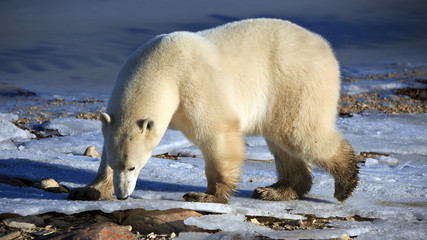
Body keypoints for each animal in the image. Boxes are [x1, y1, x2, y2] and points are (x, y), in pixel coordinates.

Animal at [68, 17, 360, 203]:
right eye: (118, 165)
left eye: (132, 167)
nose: (123, 195)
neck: (160, 65)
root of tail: (324, 45)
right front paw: (88, 190)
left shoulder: (193, 83)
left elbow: (217, 133)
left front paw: (207, 195)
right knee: (281, 140)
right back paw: (275, 190)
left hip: (295, 81)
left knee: (300, 133)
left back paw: (345, 183)